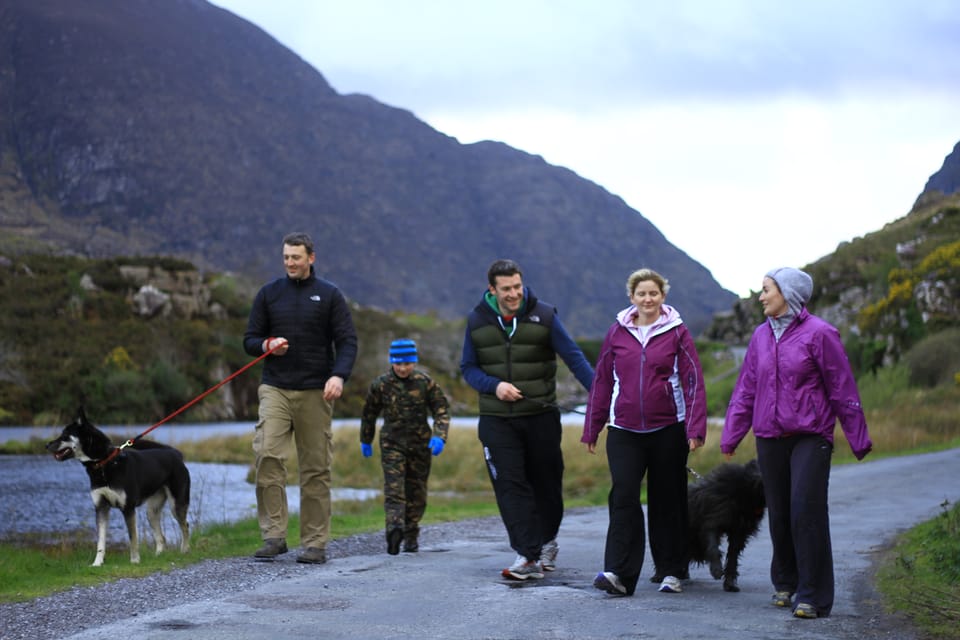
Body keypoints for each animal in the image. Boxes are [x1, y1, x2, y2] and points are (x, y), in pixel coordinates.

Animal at [46, 410, 192, 564]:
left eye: (65, 435)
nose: (46, 445)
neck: (104, 463)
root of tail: (176, 454)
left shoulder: (128, 508)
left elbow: (133, 538)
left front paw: (134, 560)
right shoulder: (101, 507)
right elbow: (101, 541)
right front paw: (97, 563)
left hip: (176, 504)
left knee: (185, 526)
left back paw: (184, 550)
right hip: (152, 511)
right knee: (161, 537)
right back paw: (158, 555)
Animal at [688, 460, 768, 592]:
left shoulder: (739, 531)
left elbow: (732, 557)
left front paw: (730, 584)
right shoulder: (713, 520)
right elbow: (713, 547)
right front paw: (716, 570)